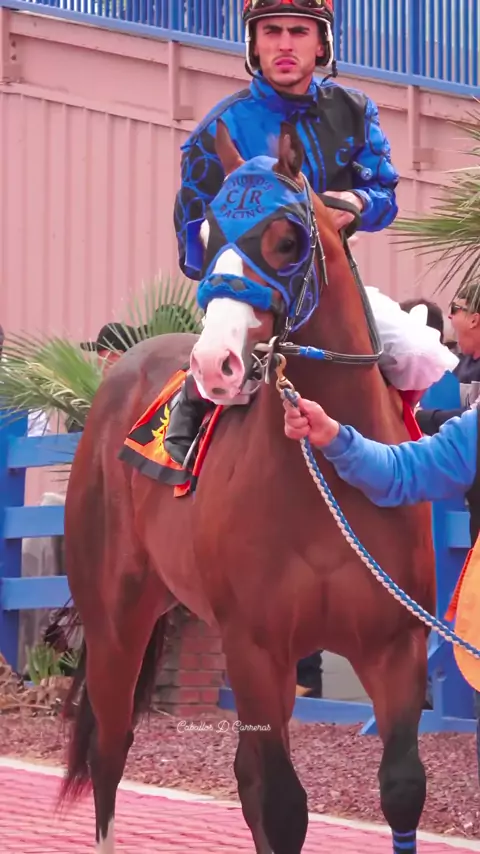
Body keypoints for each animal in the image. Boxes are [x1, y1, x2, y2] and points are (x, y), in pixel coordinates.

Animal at [58, 121, 435, 854]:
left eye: (285, 240)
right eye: (205, 236)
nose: (216, 363)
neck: (327, 487)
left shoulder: (396, 642)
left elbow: (402, 787)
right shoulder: (257, 648)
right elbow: (282, 805)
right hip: (116, 618)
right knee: (110, 748)